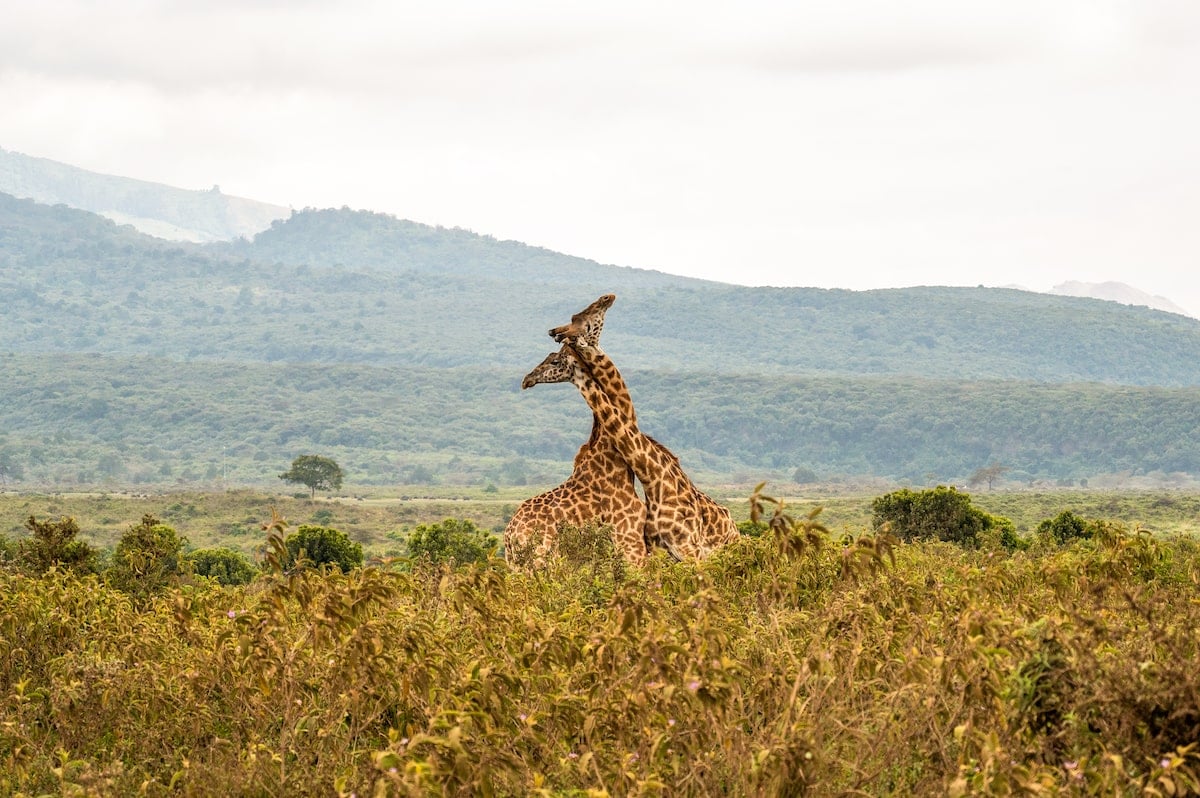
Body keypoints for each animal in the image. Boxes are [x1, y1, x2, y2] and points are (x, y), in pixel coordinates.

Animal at [499, 294, 648, 566]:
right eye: (579, 318)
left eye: (554, 358)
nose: (527, 379)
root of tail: (510, 537)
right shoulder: (631, 541)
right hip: (542, 558)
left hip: (515, 564)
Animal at [549, 314, 739, 556]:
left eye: (585, 324)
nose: (556, 333)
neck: (655, 483)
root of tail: (733, 524)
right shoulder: (657, 547)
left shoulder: (688, 546)